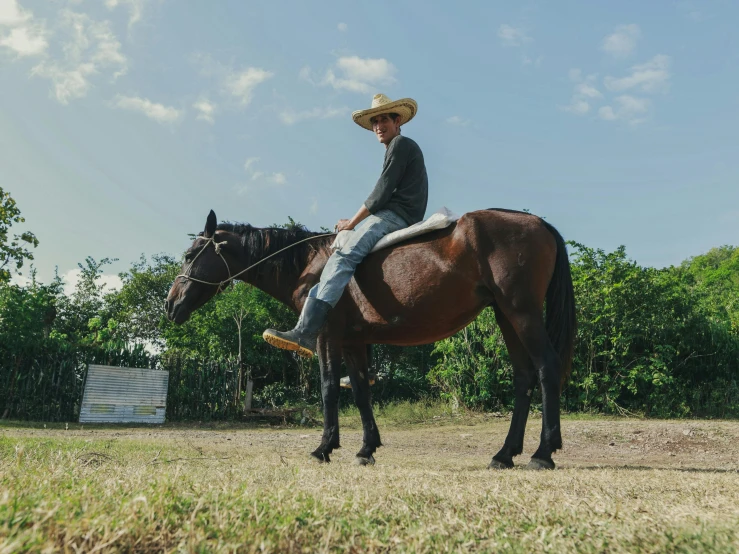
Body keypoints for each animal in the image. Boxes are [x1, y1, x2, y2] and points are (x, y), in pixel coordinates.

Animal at [166, 209, 580, 468]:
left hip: (521, 313)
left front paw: (324, 447)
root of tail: (539, 224)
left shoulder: (327, 337)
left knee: (547, 369)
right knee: (524, 378)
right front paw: (366, 449)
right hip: (506, 317)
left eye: (190, 254)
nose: (170, 304)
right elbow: (362, 391)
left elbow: (329, 389)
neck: (310, 264)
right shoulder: (354, 342)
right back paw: (505, 454)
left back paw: (543, 453)